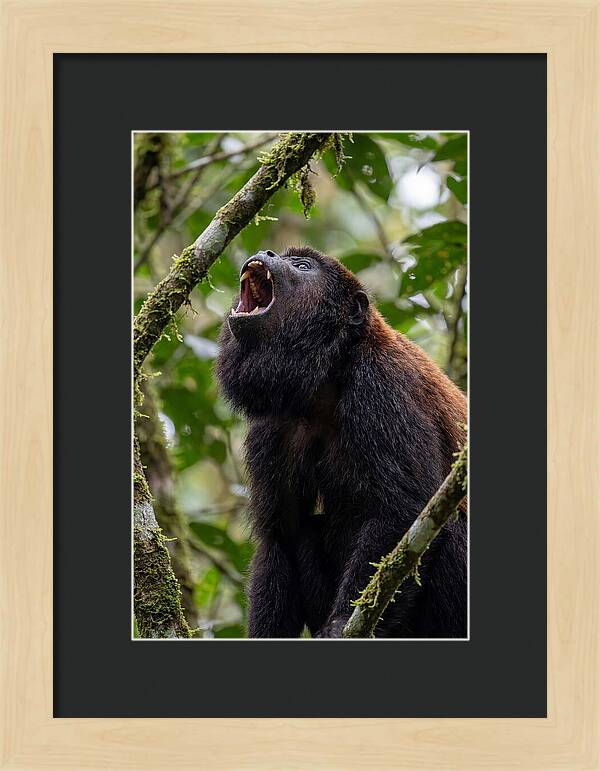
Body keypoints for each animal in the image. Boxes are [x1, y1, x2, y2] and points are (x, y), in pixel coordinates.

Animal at [216, 247, 467, 638]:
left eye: (302, 266)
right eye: (283, 255)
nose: (267, 252)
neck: (329, 376)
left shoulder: (381, 387)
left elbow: (405, 509)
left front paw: (339, 624)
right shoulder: (273, 425)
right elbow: (281, 535)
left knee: (451, 524)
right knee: (304, 532)